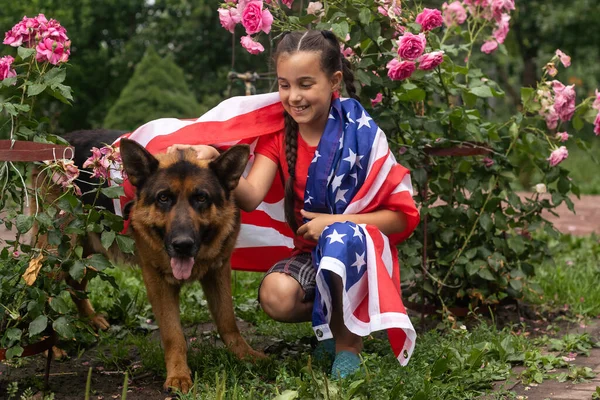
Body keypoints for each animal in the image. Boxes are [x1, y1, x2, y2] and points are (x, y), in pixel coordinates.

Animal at [56, 130, 264, 390]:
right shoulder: (157, 282)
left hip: (92, 255)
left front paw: (244, 354)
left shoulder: (218, 271)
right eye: (164, 198)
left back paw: (91, 319)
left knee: (74, 282)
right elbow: (173, 334)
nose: (182, 245)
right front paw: (178, 375)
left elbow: (228, 320)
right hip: (59, 252)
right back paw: (52, 348)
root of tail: (64, 138)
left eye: (201, 198)